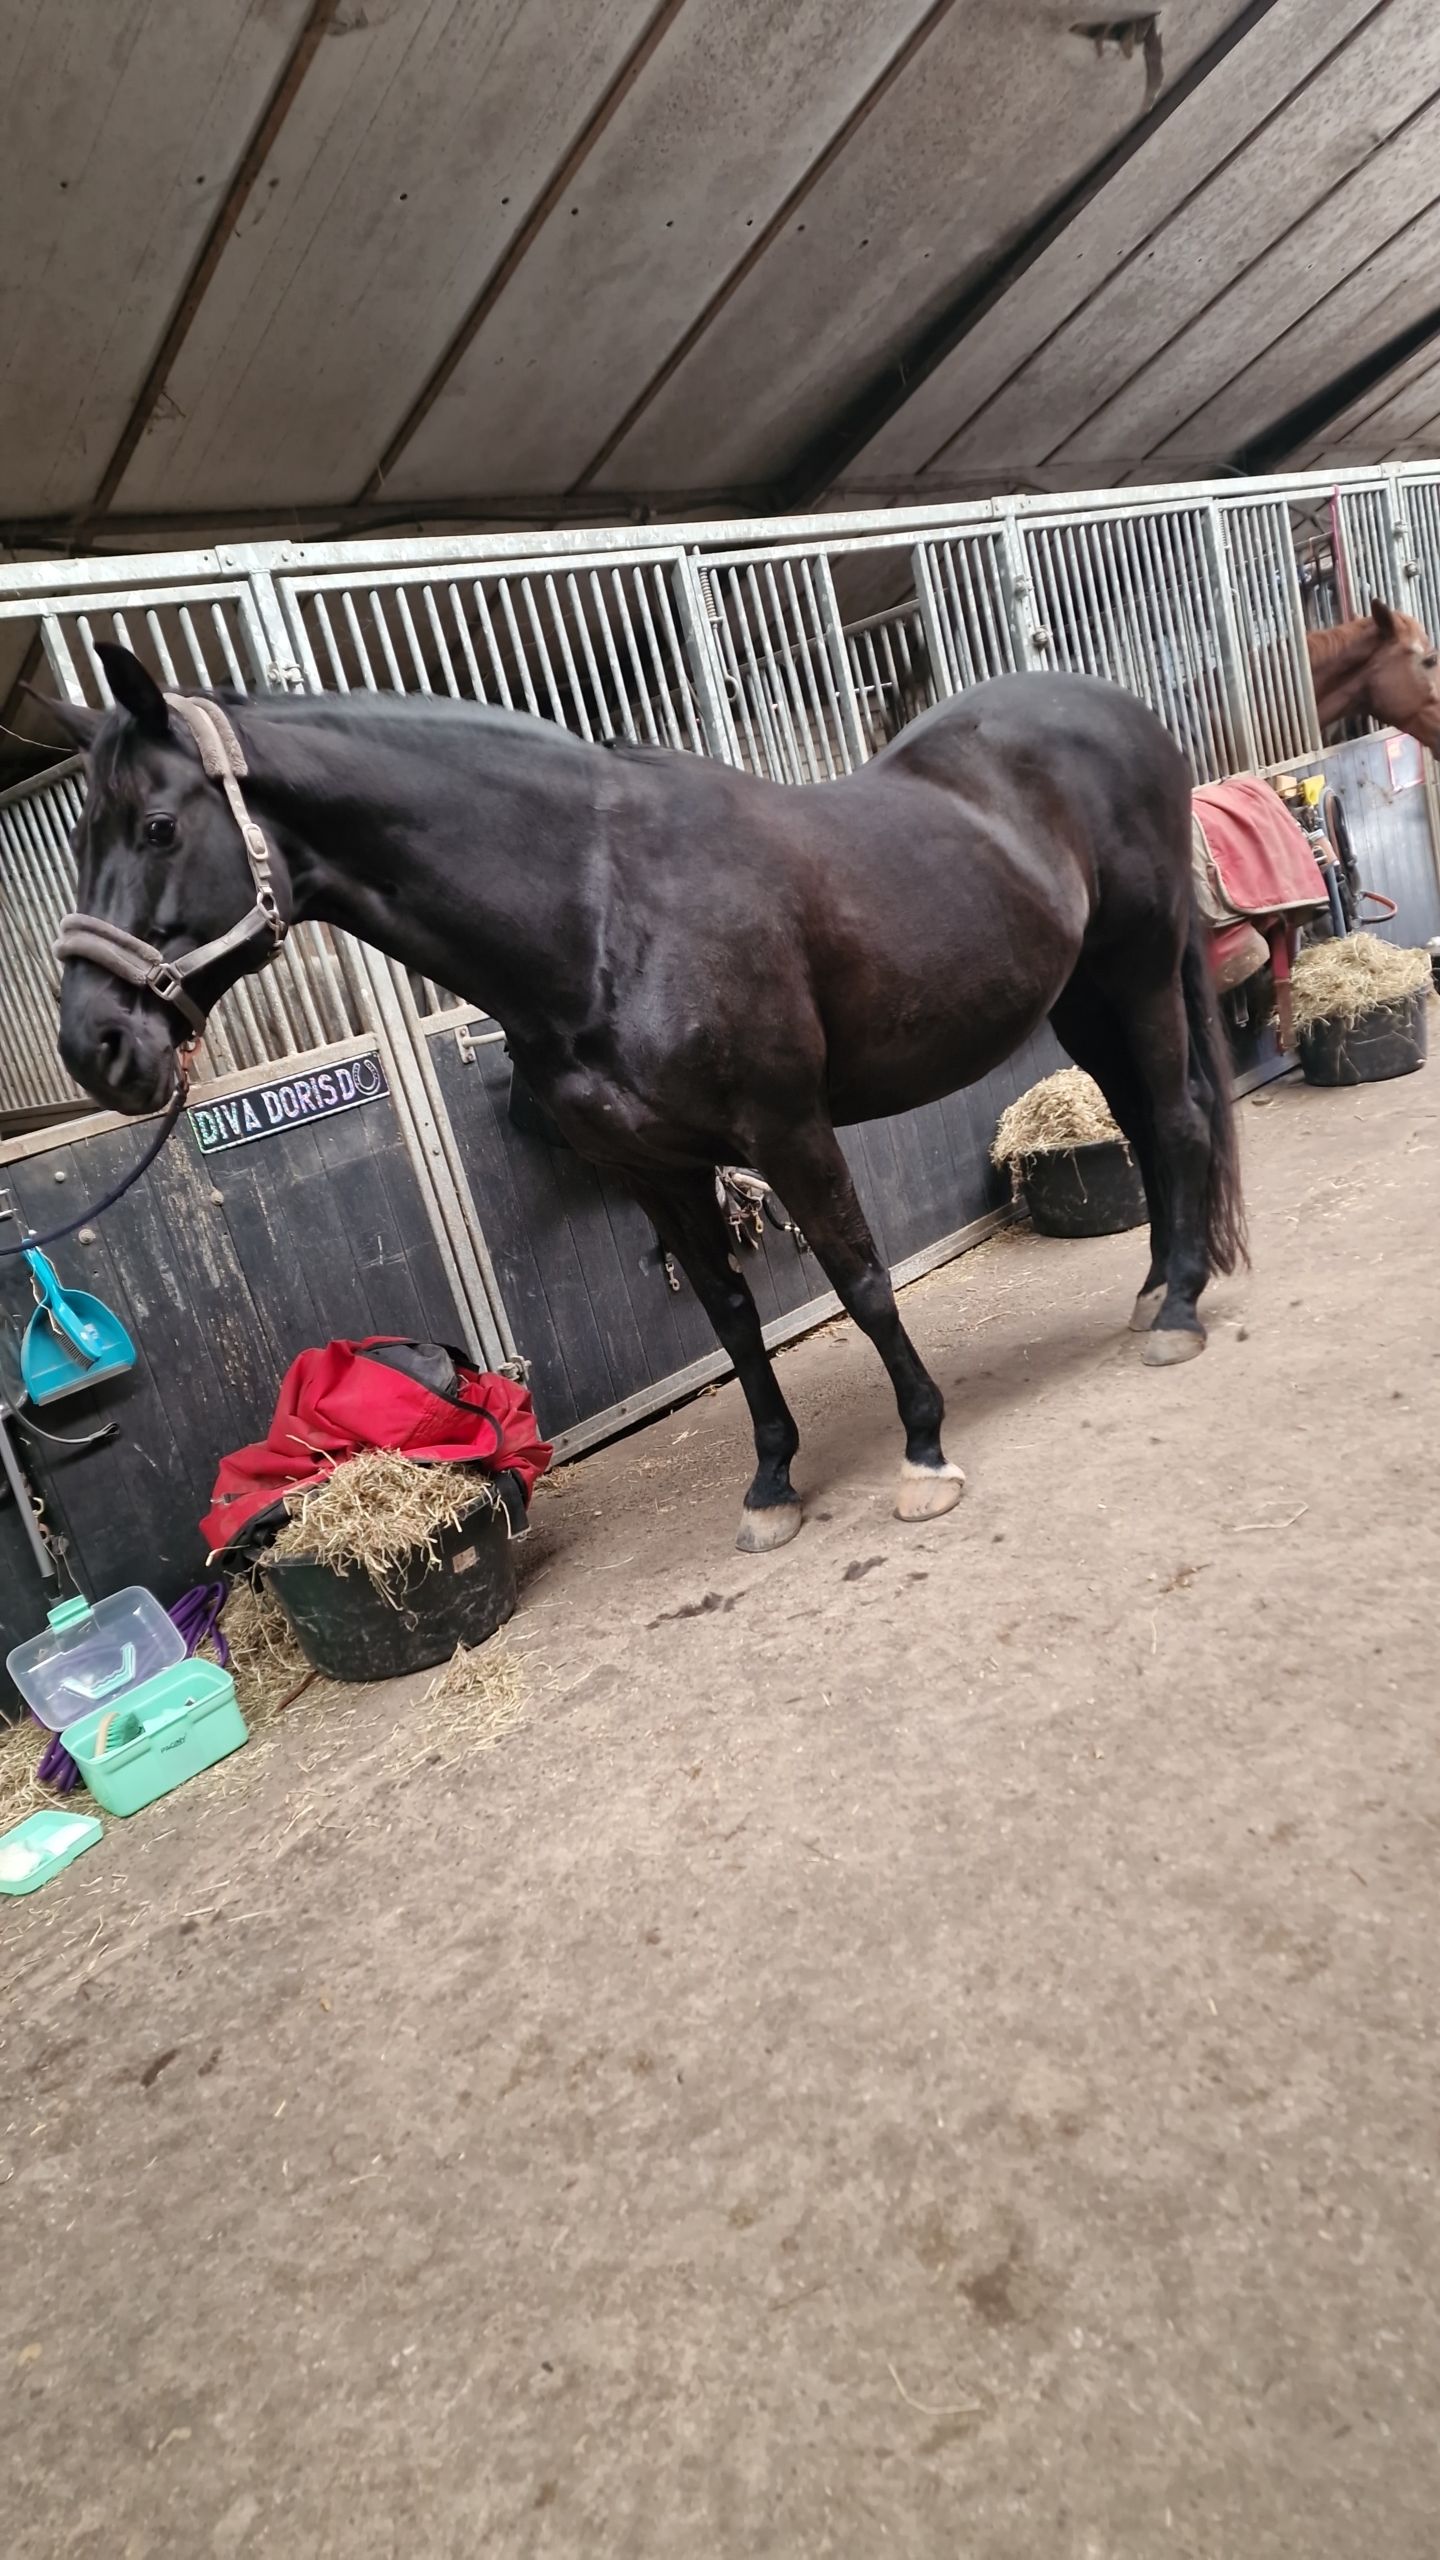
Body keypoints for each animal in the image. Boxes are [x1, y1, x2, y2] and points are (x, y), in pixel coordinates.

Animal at [46, 643, 1244, 1556]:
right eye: (85, 835)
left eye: (157, 826)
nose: (96, 1046)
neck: (603, 910)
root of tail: (1119, 711)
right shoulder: (654, 1169)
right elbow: (731, 1319)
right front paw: (773, 1485)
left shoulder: (787, 1126)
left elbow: (861, 1281)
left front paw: (923, 1452)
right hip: (1080, 995)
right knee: (1141, 1121)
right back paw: (1153, 1287)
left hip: (1141, 968)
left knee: (1179, 1117)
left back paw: (1180, 1312)